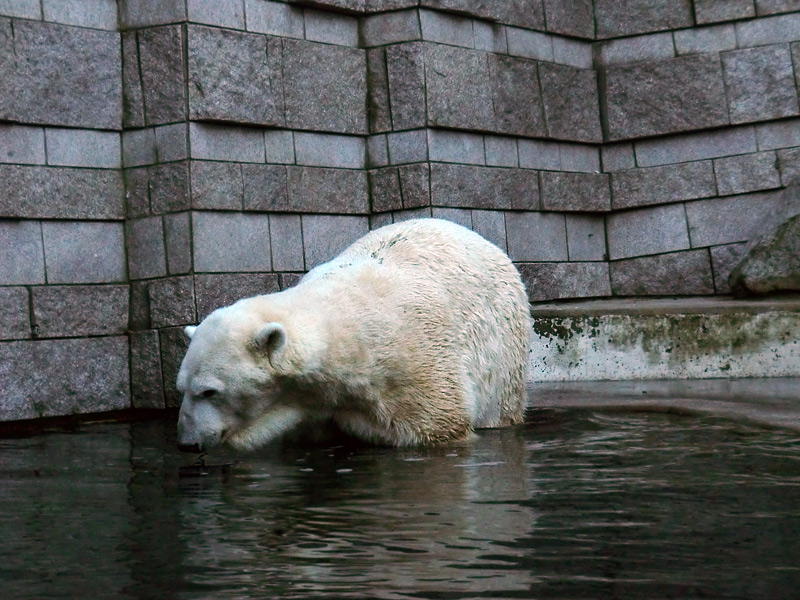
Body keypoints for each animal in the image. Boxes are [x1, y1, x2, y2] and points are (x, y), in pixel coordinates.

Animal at [177, 218, 532, 452]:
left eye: (209, 391)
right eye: (181, 387)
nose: (185, 442)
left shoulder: (414, 372)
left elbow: (436, 425)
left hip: (504, 353)